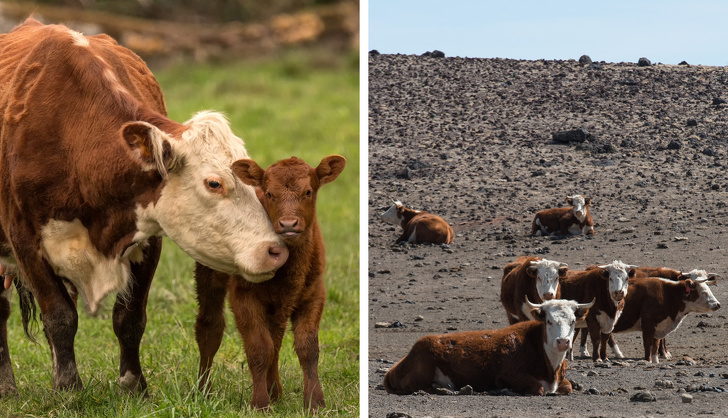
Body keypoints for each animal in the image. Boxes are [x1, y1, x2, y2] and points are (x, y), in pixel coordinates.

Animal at [0, 19, 288, 396]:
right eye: (214, 183)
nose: (275, 251)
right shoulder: (25, 240)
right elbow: (59, 317)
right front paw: (68, 388)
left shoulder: (148, 236)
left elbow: (130, 317)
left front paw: (133, 383)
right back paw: (7, 383)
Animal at [191, 156, 344, 412]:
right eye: (270, 193)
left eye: (308, 191)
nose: (289, 223)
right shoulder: (244, 296)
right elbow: (259, 348)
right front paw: (260, 403)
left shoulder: (314, 295)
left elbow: (307, 348)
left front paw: (315, 402)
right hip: (208, 274)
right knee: (210, 327)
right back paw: (203, 391)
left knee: (276, 339)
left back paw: (276, 392)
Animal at [384, 298, 596, 396]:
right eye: (549, 321)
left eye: (573, 321)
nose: (563, 342)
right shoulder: (506, 375)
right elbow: (538, 387)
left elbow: (567, 386)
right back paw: (444, 389)